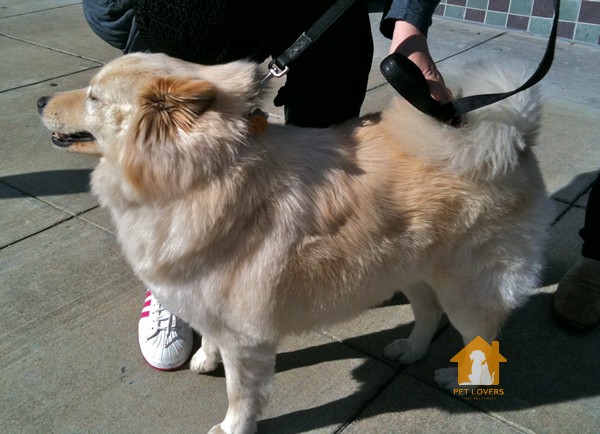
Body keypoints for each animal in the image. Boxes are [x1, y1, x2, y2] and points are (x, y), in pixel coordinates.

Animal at [38, 53, 552, 434]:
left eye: (94, 97)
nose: (40, 98)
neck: (203, 177)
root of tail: (512, 138)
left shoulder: (246, 334)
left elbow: (241, 394)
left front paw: (233, 427)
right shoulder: (206, 297)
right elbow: (211, 339)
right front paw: (205, 358)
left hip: (465, 287)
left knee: (481, 335)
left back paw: (464, 381)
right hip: (413, 271)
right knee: (428, 314)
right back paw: (411, 350)